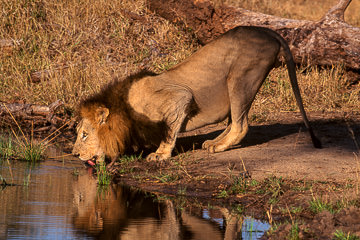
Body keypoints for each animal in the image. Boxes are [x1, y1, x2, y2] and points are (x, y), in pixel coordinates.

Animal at [72, 24, 320, 167]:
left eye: (84, 134)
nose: (74, 155)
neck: (124, 109)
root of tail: (268, 31)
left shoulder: (180, 98)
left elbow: (169, 131)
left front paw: (160, 154)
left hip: (240, 77)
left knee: (241, 125)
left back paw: (219, 147)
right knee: (234, 121)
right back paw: (214, 142)